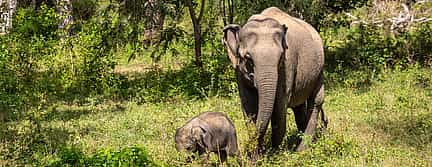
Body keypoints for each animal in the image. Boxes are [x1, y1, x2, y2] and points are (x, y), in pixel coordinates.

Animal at [223, 6, 328, 153]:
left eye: (281, 57)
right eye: (248, 59)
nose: (246, 149)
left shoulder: (287, 67)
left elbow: (279, 107)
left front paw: (274, 153)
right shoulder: (239, 71)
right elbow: (248, 105)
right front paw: (256, 155)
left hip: (319, 69)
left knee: (316, 101)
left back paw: (301, 151)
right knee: (299, 106)